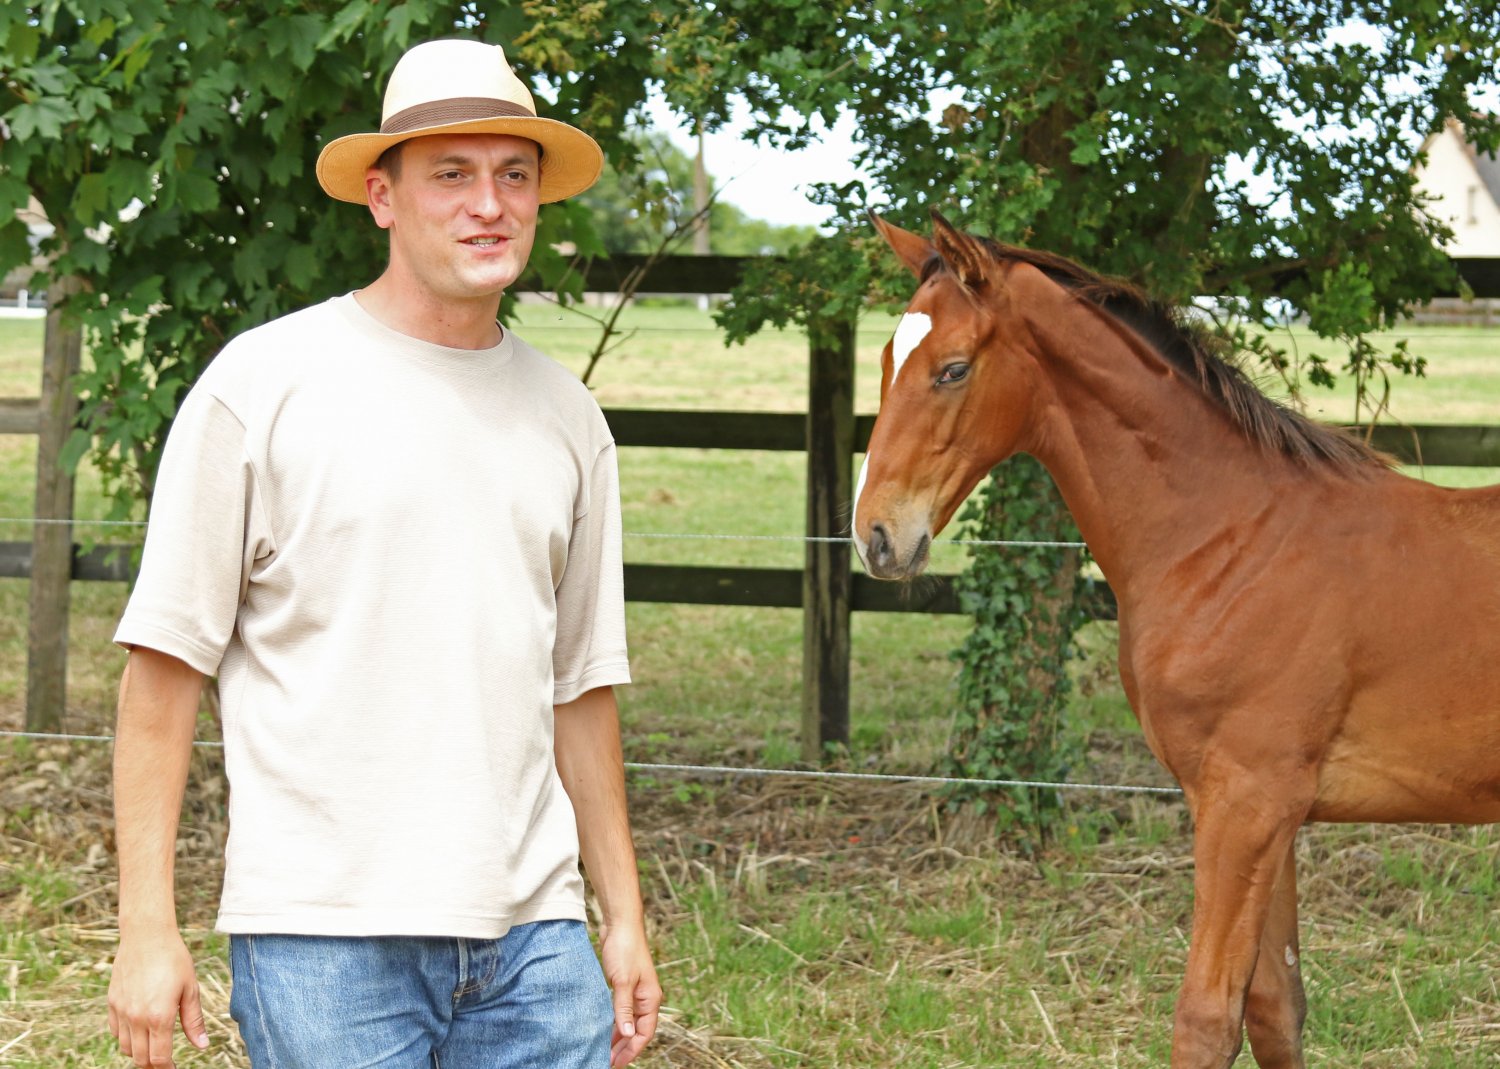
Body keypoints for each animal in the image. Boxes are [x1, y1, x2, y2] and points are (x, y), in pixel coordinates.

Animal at [853, 212, 1500, 1068]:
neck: (1233, 536)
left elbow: (1204, 1017)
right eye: (887, 361)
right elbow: (1274, 1007)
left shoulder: (1246, 802)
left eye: (953, 369)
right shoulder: (1270, 810)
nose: (876, 537)